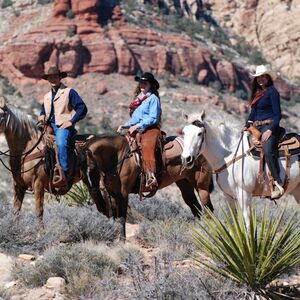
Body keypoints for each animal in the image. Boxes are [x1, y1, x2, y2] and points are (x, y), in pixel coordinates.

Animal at [0, 96, 106, 225]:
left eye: (1, 114)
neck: (26, 151)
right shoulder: (18, 186)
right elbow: (16, 212)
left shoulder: (38, 185)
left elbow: (39, 213)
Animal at [83, 135, 214, 238]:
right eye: (81, 173)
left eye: (92, 169)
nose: (93, 191)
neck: (119, 156)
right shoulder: (112, 193)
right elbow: (114, 216)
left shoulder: (123, 194)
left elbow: (122, 218)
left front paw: (122, 240)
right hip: (184, 184)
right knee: (195, 207)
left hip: (201, 187)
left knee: (208, 209)